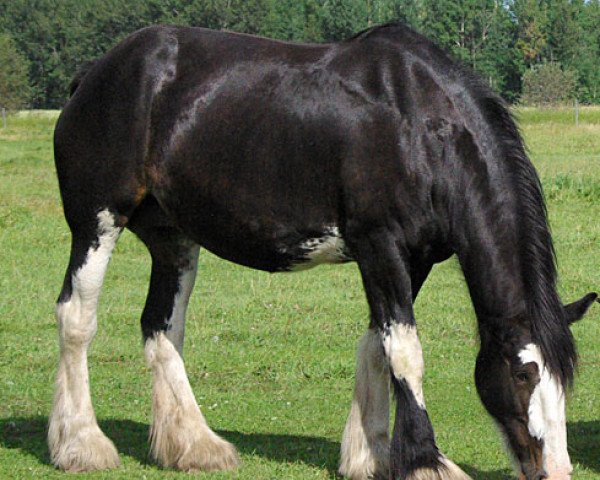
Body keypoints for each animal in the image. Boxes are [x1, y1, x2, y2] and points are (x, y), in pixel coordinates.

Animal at [51, 22, 596, 480]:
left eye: (564, 380)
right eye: (524, 374)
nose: (557, 472)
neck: (417, 126)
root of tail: (95, 74)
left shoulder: (412, 258)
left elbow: (378, 344)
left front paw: (371, 456)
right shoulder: (379, 245)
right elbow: (405, 352)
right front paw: (425, 462)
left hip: (173, 239)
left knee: (162, 328)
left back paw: (194, 445)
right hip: (97, 222)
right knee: (77, 317)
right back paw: (82, 445)